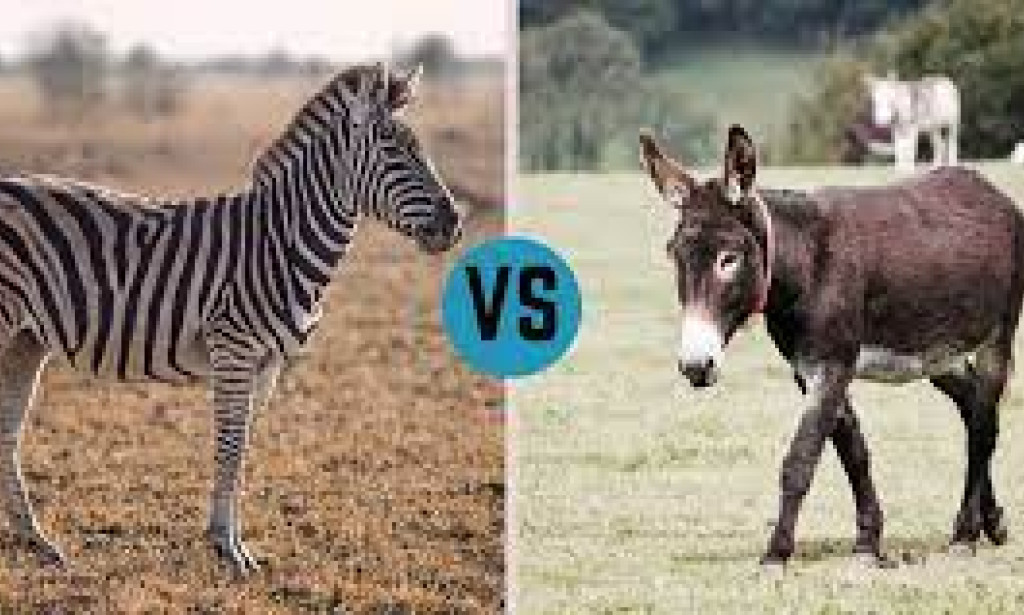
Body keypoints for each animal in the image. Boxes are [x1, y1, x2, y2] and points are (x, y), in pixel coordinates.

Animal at [0, 62, 462, 574]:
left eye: (420, 148)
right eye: (391, 148)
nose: (454, 223)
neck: (278, 243)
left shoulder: (267, 364)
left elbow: (243, 451)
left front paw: (231, 542)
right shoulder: (234, 350)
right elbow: (229, 446)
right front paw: (227, 549)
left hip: (25, 340)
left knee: (8, 433)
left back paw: (37, 541)